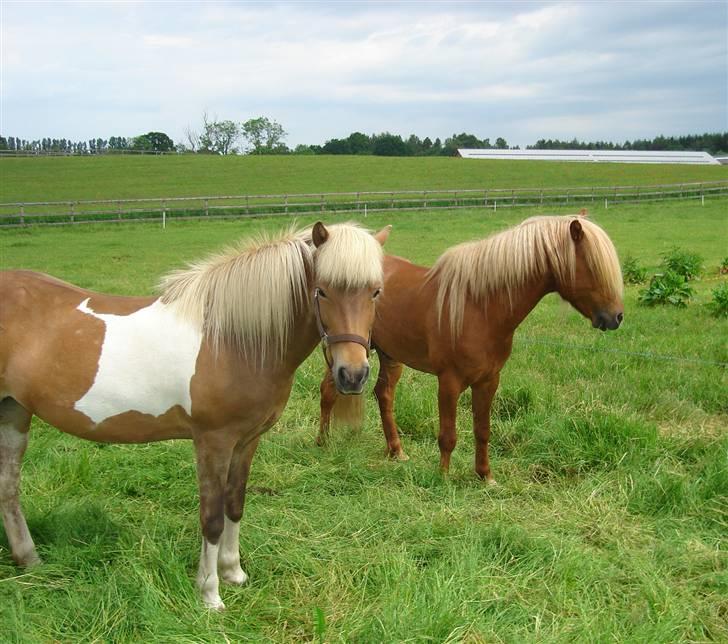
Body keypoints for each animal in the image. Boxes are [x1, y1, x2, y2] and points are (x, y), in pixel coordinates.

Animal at [2, 221, 390, 608]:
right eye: (322, 291)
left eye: (375, 292)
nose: (353, 375)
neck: (233, 340)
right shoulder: (213, 441)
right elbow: (212, 516)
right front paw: (210, 594)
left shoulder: (246, 441)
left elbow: (235, 504)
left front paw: (234, 573)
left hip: (14, 413)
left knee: (9, 487)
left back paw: (29, 559)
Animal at [320, 216, 624, 484]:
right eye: (593, 267)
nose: (616, 317)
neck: (479, 307)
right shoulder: (449, 381)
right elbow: (448, 435)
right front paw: (443, 477)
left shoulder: (489, 380)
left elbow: (483, 430)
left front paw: (485, 476)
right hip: (346, 356)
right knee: (328, 392)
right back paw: (323, 443)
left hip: (390, 356)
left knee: (383, 395)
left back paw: (396, 451)